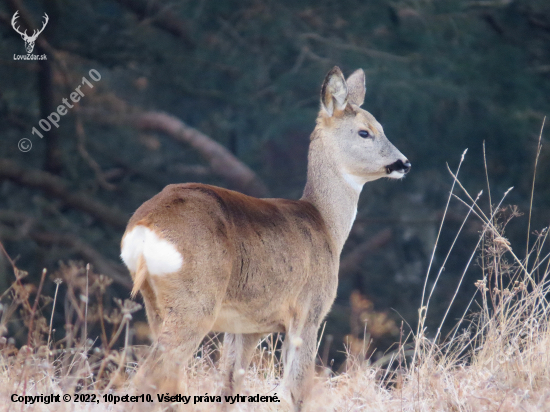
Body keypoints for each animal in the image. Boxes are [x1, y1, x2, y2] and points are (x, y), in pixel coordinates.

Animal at [123, 66, 412, 410]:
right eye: (364, 132)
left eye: (381, 127)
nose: (404, 163)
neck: (325, 224)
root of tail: (144, 226)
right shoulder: (309, 309)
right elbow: (294, 391)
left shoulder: (245, 326)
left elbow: (229, 389)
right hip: (194, 301)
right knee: (149, 376)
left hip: (156, 304)